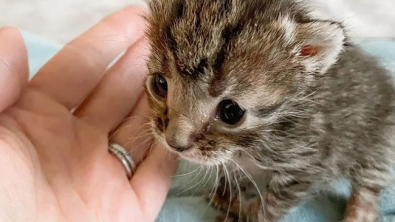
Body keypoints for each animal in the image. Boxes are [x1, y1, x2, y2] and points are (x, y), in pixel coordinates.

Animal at [144, 0, 395, 221]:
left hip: (379, 144)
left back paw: (359, 213)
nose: (174, 143)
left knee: (369, 185)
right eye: (159, 84)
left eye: (231, 112)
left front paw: (247, 215)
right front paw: (226, 195)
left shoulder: (306, 166)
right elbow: (231, 171)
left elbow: (272, 204)